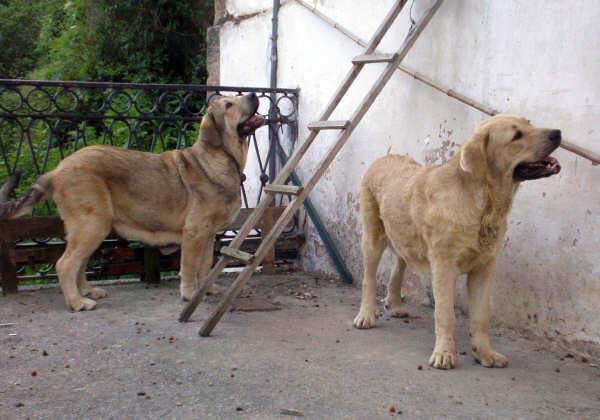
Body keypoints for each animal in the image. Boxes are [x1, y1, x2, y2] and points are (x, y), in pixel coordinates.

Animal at [0, 93, 264, 310]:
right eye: (228, 105)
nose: (253, 94)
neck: (221, 157)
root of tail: (56, 171)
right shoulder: (194, 232)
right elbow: (189, 268)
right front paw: (190, 295)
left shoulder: (208, 236)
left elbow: (205, 266)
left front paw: (206, 289)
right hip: (92, 225)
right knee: (65, 264)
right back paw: (77, 303)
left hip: (90, 228)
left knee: (79, 264)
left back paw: (87, 291)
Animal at [352, 115, 564, 368]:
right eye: (516, 136)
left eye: (529, 123)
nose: (557, 133)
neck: (481, 202)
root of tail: (385, 156)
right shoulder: (443, 266)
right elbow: (446, 315)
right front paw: (444, 353)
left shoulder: (484, 268)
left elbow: (481, 317)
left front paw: (484, 353)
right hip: (373, 239)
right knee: (369, 279)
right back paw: (366, 314)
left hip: (406, 237)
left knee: (400, 264)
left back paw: (394, 304)